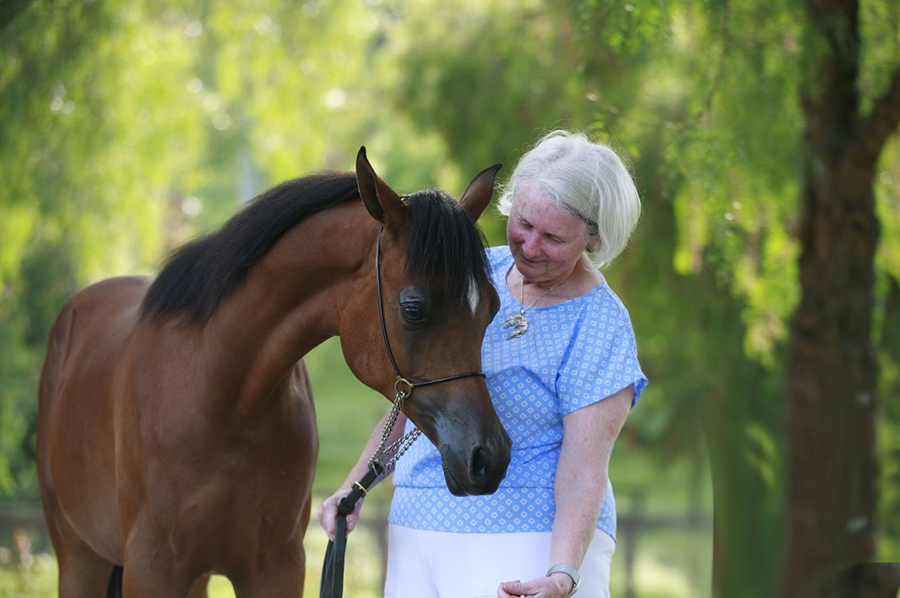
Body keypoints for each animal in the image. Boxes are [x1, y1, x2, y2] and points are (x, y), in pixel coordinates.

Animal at [35, 146, 510, 598]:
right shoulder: (152, 571)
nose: (489, 456)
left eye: (491, 306)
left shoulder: (275, 569)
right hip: (79, 560)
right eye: (413, 309)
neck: (224, 398)